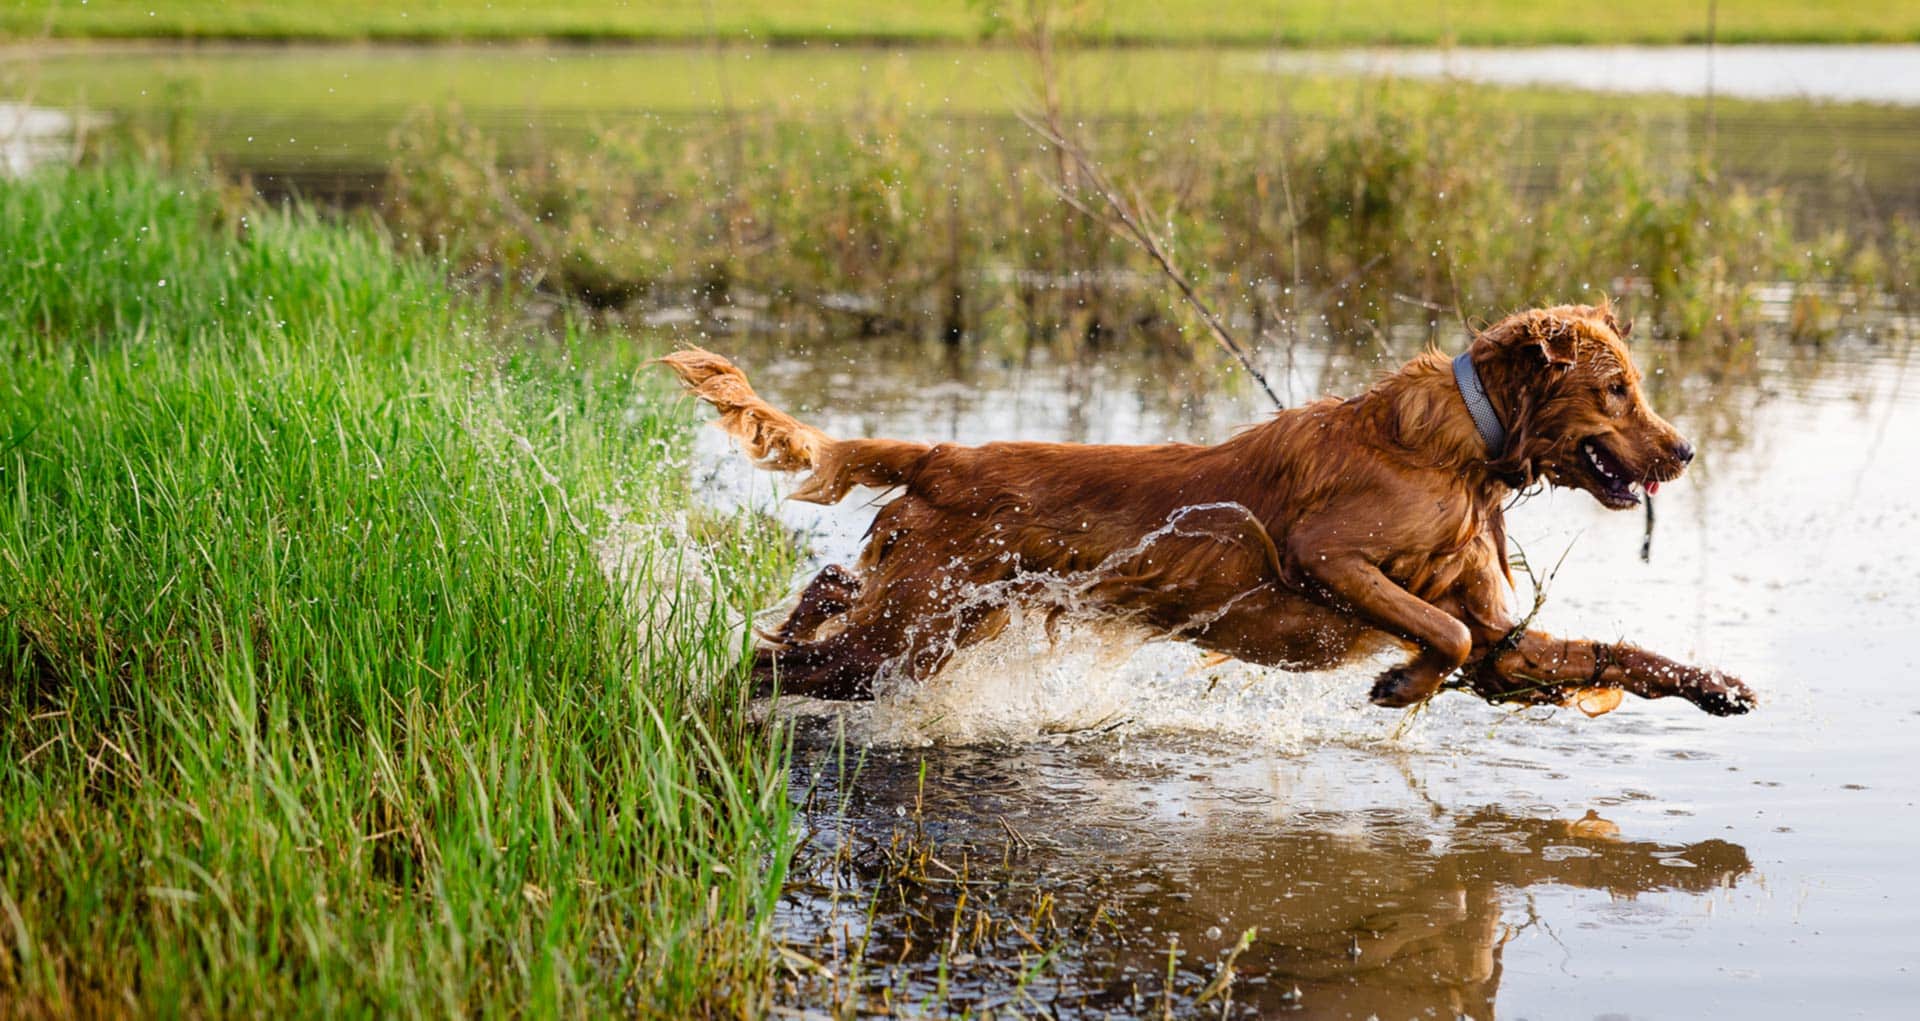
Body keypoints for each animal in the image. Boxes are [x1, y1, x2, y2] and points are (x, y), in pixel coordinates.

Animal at [668, 303, 1758, 717]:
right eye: (1617, 390)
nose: (1684, 451)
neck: (1463, 448)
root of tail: (942, 452)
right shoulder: (1325, 554)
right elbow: (1439, 629)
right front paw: (1401, 681)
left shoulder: (1507, 645)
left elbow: (1606, 649)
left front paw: (1718, 685)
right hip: (908, 636)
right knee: (780, 661)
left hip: (929, 625)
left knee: (822, 596)